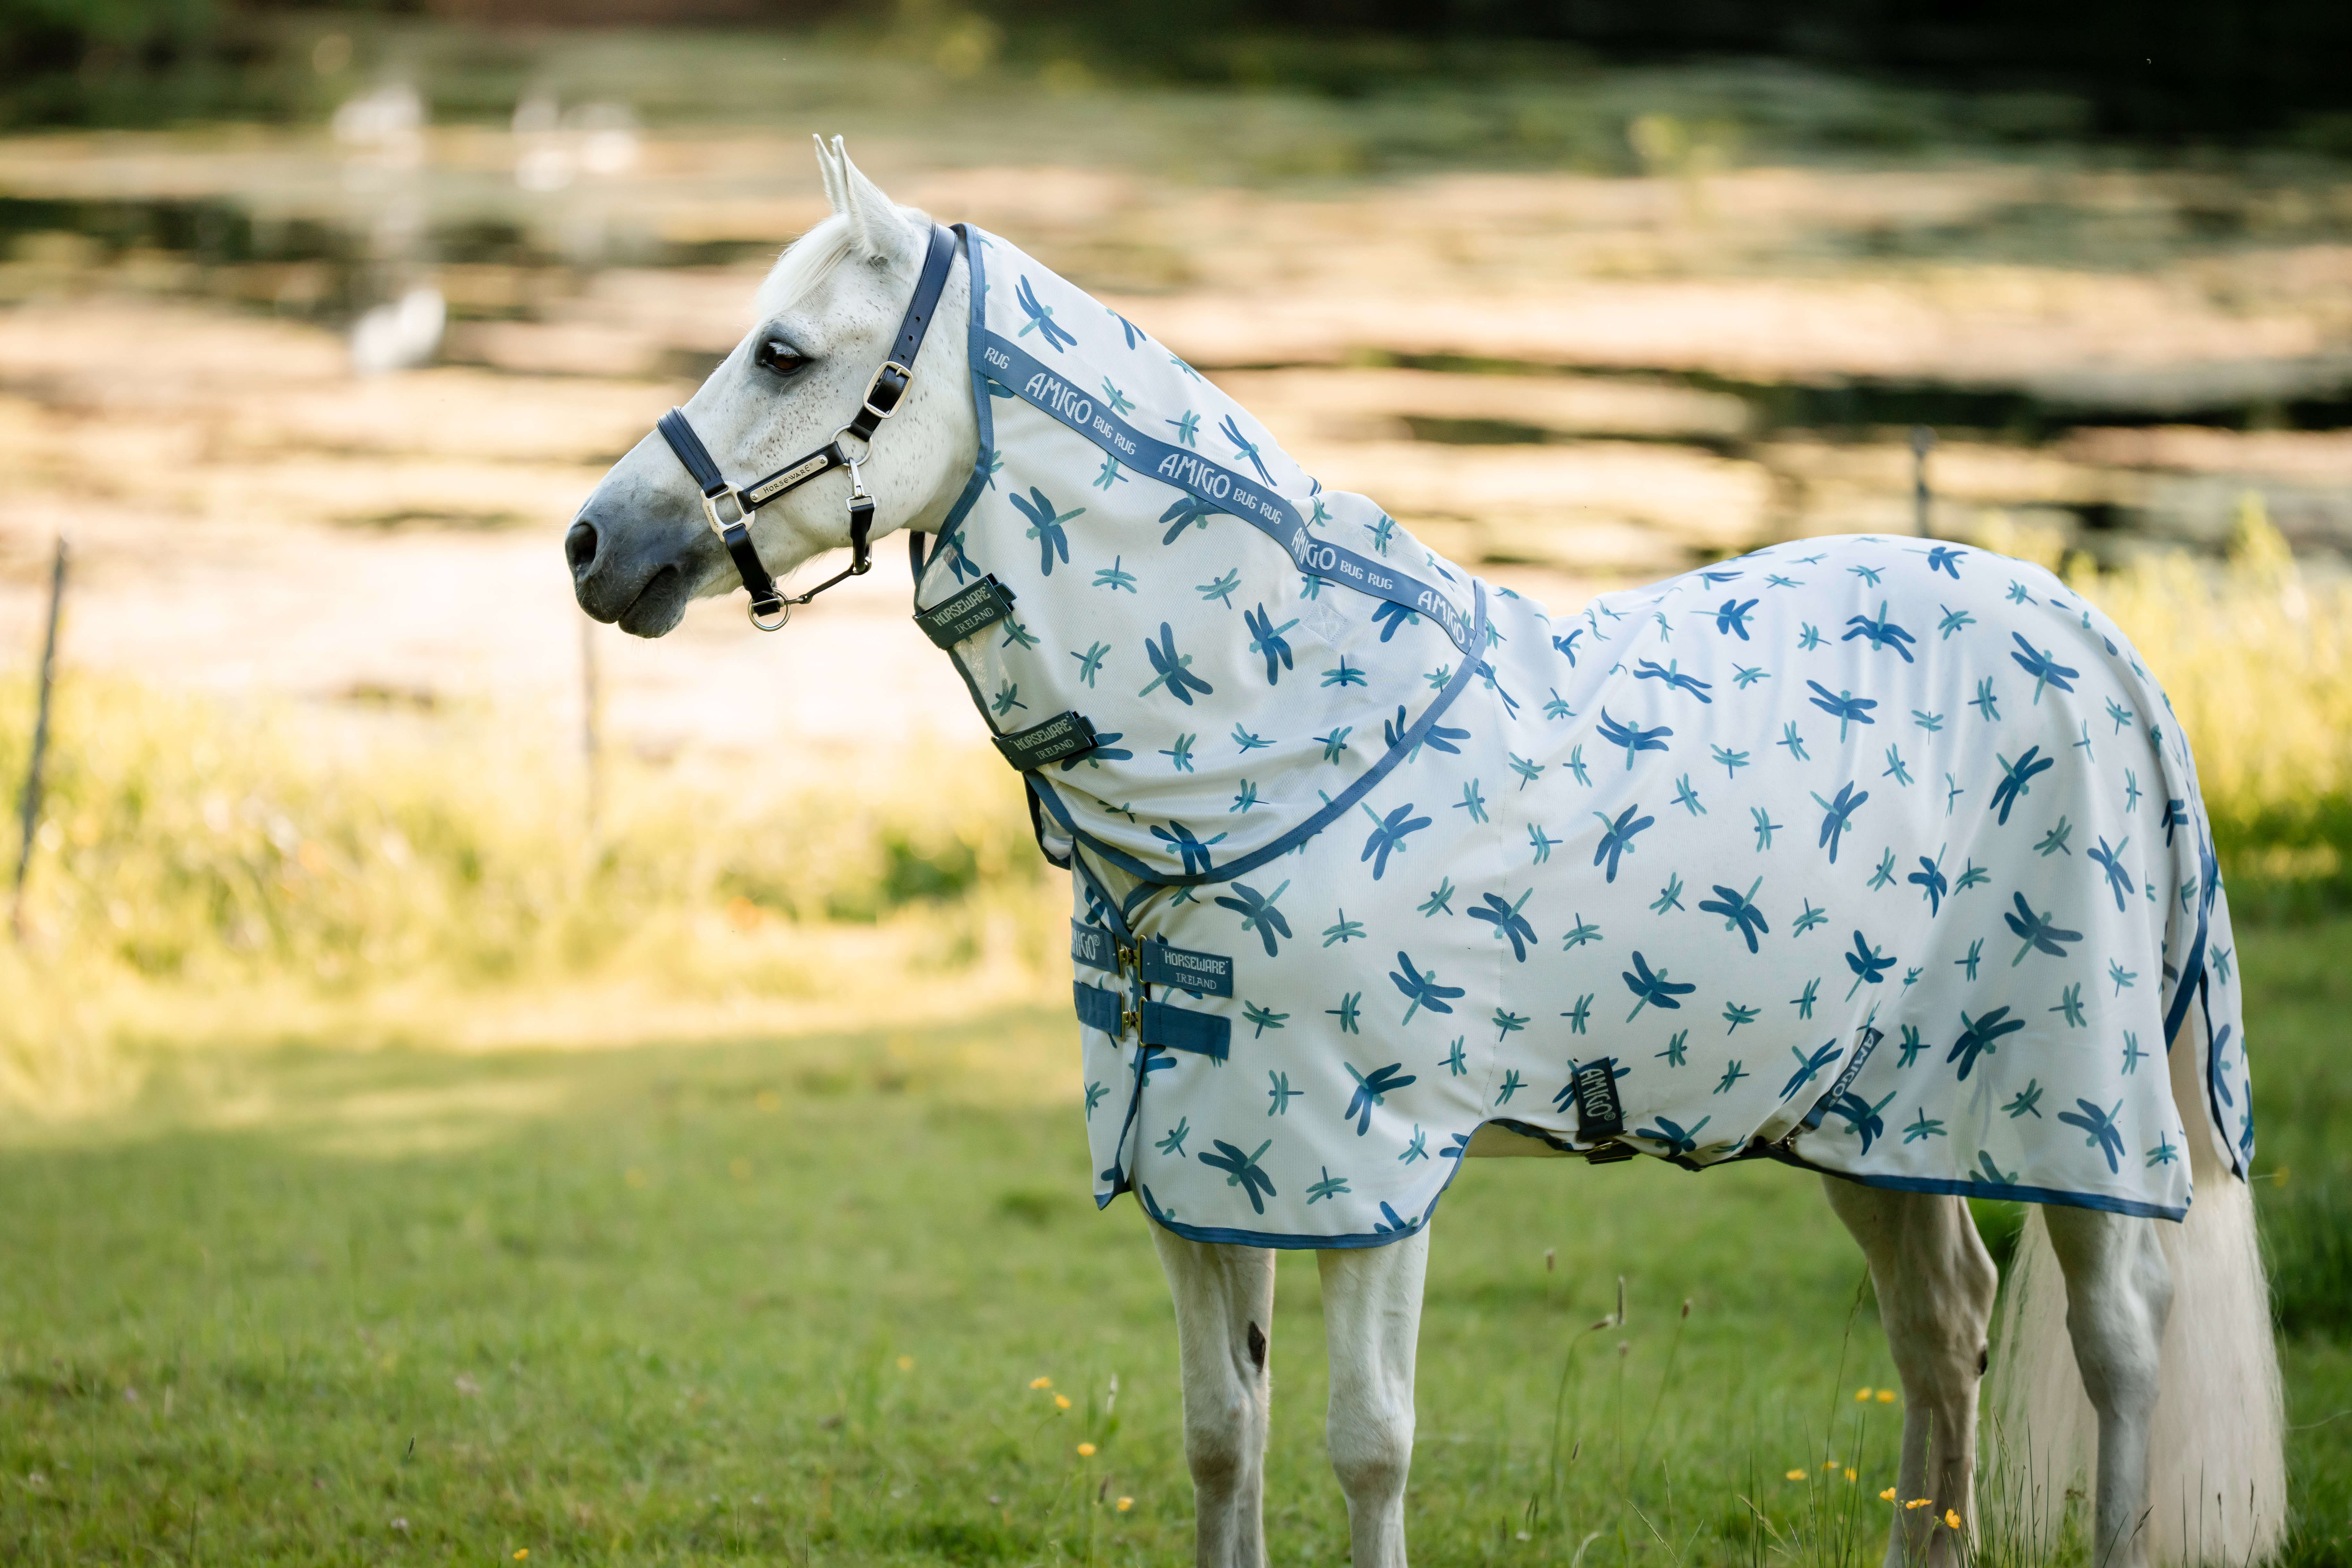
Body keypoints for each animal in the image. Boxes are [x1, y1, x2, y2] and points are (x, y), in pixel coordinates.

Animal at [566, 137, 2284, 1568]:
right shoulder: (1203, 1169)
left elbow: (1366, 1444)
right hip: (1870, 1114)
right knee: (1940, 1327)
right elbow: (1220, 1434)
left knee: (2119, 1344)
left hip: (2071, 1110)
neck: (1281, 738)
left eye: (785, 353)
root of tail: (2093, 638)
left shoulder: (1367, 1173)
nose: (593, 544)